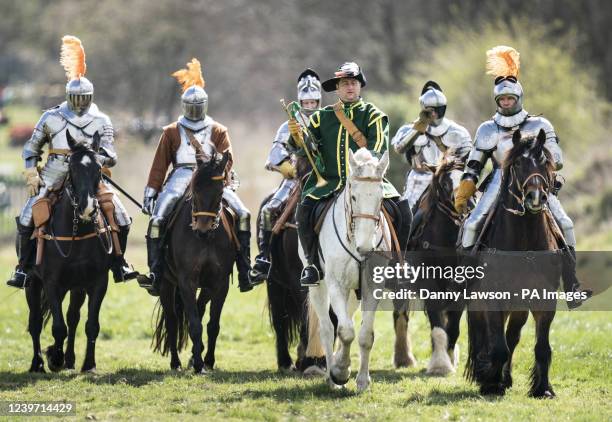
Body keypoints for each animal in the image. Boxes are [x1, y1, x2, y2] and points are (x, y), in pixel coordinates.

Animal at [26, 133, 113, 372]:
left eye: (98, 168)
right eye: (72, 167)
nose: (87, 208)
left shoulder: (97, 282)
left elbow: (91, 325)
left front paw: (88, 364)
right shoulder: (51, 282)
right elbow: (58, 327)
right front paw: (54, 358)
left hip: (76, 287)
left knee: (73, 317)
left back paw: (70, 360)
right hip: (33, 284)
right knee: (35, 323)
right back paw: (37, 363)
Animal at [153, 151, 237, 372]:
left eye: (219, 192)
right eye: (195, 189)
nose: (202, 230)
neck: (207, 240)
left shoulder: (219, 283)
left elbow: (212, 325)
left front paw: (207, 360)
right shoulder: (186, 282)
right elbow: (194, 324)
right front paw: (199, 364)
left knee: (199, 310)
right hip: (166, 284)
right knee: (172, 321)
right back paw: (176, 363)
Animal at [302, 148, 392, 392]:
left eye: (381, 198)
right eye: (353, 197)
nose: (366, 248)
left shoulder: (371, 288)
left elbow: (364, 335)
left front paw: (362, 380)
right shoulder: (336, 286)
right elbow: (345, 331)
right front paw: (340, 372)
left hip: (353, 293)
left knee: (347, 319)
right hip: (318, 287)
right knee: (327, 328)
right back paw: (331, 377)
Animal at [394, 150, 466, 374]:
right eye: (444, 183)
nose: (465, 204)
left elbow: (453, 325)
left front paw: (449, 357)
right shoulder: (429, 284)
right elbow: (438, 324)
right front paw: (441, 365)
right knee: (400, 316)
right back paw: (404, 358)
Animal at [466, 129, 560, 398]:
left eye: (545, 162)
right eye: (518, 163)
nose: (535, 197)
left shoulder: (543, 299)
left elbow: (541, 346)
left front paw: (543, 388)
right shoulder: (492, 298)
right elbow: (496, 344)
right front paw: (490, 383)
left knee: (512, 336)